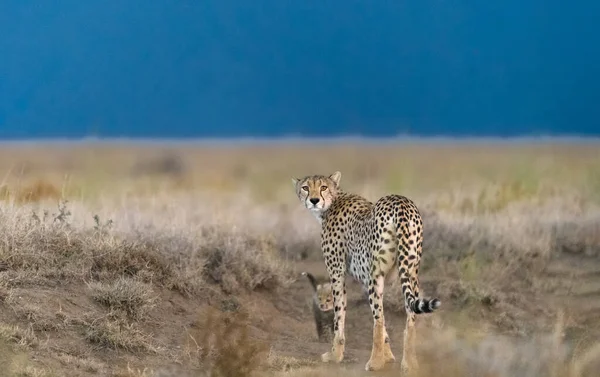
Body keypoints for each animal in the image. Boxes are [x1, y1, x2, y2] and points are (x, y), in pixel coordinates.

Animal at [292, 172, 440, 372]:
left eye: (323, 187)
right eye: (305, 187)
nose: (314, 200)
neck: (333, 201)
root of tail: (400, 202)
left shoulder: (337, 272)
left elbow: (339, 316)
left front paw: (335, 355)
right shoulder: (364, 279)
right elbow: (384, 324)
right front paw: (389, 356)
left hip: (376, 275)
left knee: (378, 319)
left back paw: (374, 363)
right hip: (410, 271)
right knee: (410, 317)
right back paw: (409, 364)